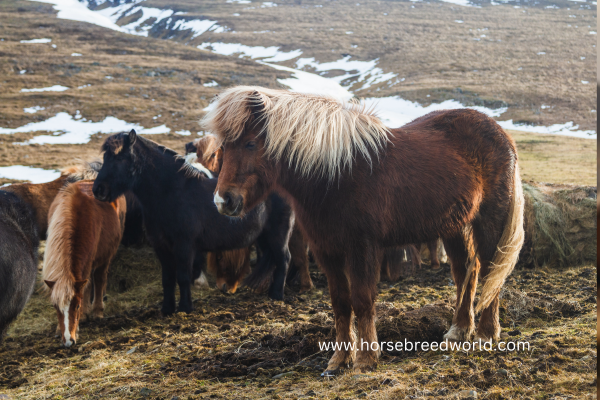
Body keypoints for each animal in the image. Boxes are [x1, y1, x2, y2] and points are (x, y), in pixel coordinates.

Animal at [43, 181, 126, 346]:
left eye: (77, 306)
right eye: (56, 308)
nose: (68, 341)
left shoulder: (88, 262)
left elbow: (86, 288)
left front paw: (82, 317)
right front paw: (58, 329)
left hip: (105, 256)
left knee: (99, 279)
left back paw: (96, 312)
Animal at [93, 130, 296, 314]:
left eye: (120, 158)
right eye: (105, 157)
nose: (98, 189)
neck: (171, 192)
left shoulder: (184, 245)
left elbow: (183, 277)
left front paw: (185, 308)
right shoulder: (161, 246)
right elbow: (167, 279)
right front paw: (167, 309)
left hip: (278, 234)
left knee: (284, 259)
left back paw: (276, 296)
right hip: (263, 236)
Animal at [204, 86, 524, 376]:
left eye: (250, 144)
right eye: (223, 147)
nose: (223, 201)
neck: (335, 174)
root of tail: (501, 134)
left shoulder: (362, 247)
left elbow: (362, 300)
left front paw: (366, 359)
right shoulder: (326, 250)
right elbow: (340, 303)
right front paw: (338, 360)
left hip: (488, 219)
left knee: (490, 269)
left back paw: (485, 334)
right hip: (454, 225)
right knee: (465, 271)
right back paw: (458, 331)